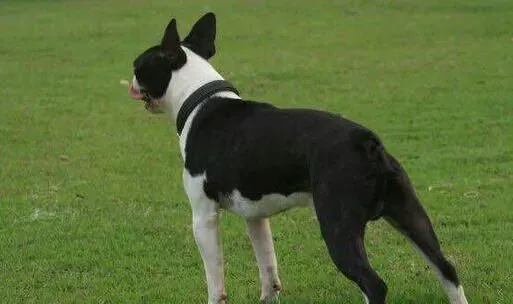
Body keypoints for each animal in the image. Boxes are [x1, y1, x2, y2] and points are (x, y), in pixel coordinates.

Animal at [127, 12, 468, 304]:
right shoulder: (256, 217)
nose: (128, 80)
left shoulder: (203, 216)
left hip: (337, 224)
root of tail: (366, 143)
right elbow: (268, 269)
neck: (199, 100)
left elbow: (216, 282)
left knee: (373, 284)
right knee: (446, 268)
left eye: (137, 66)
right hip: (408, 213)